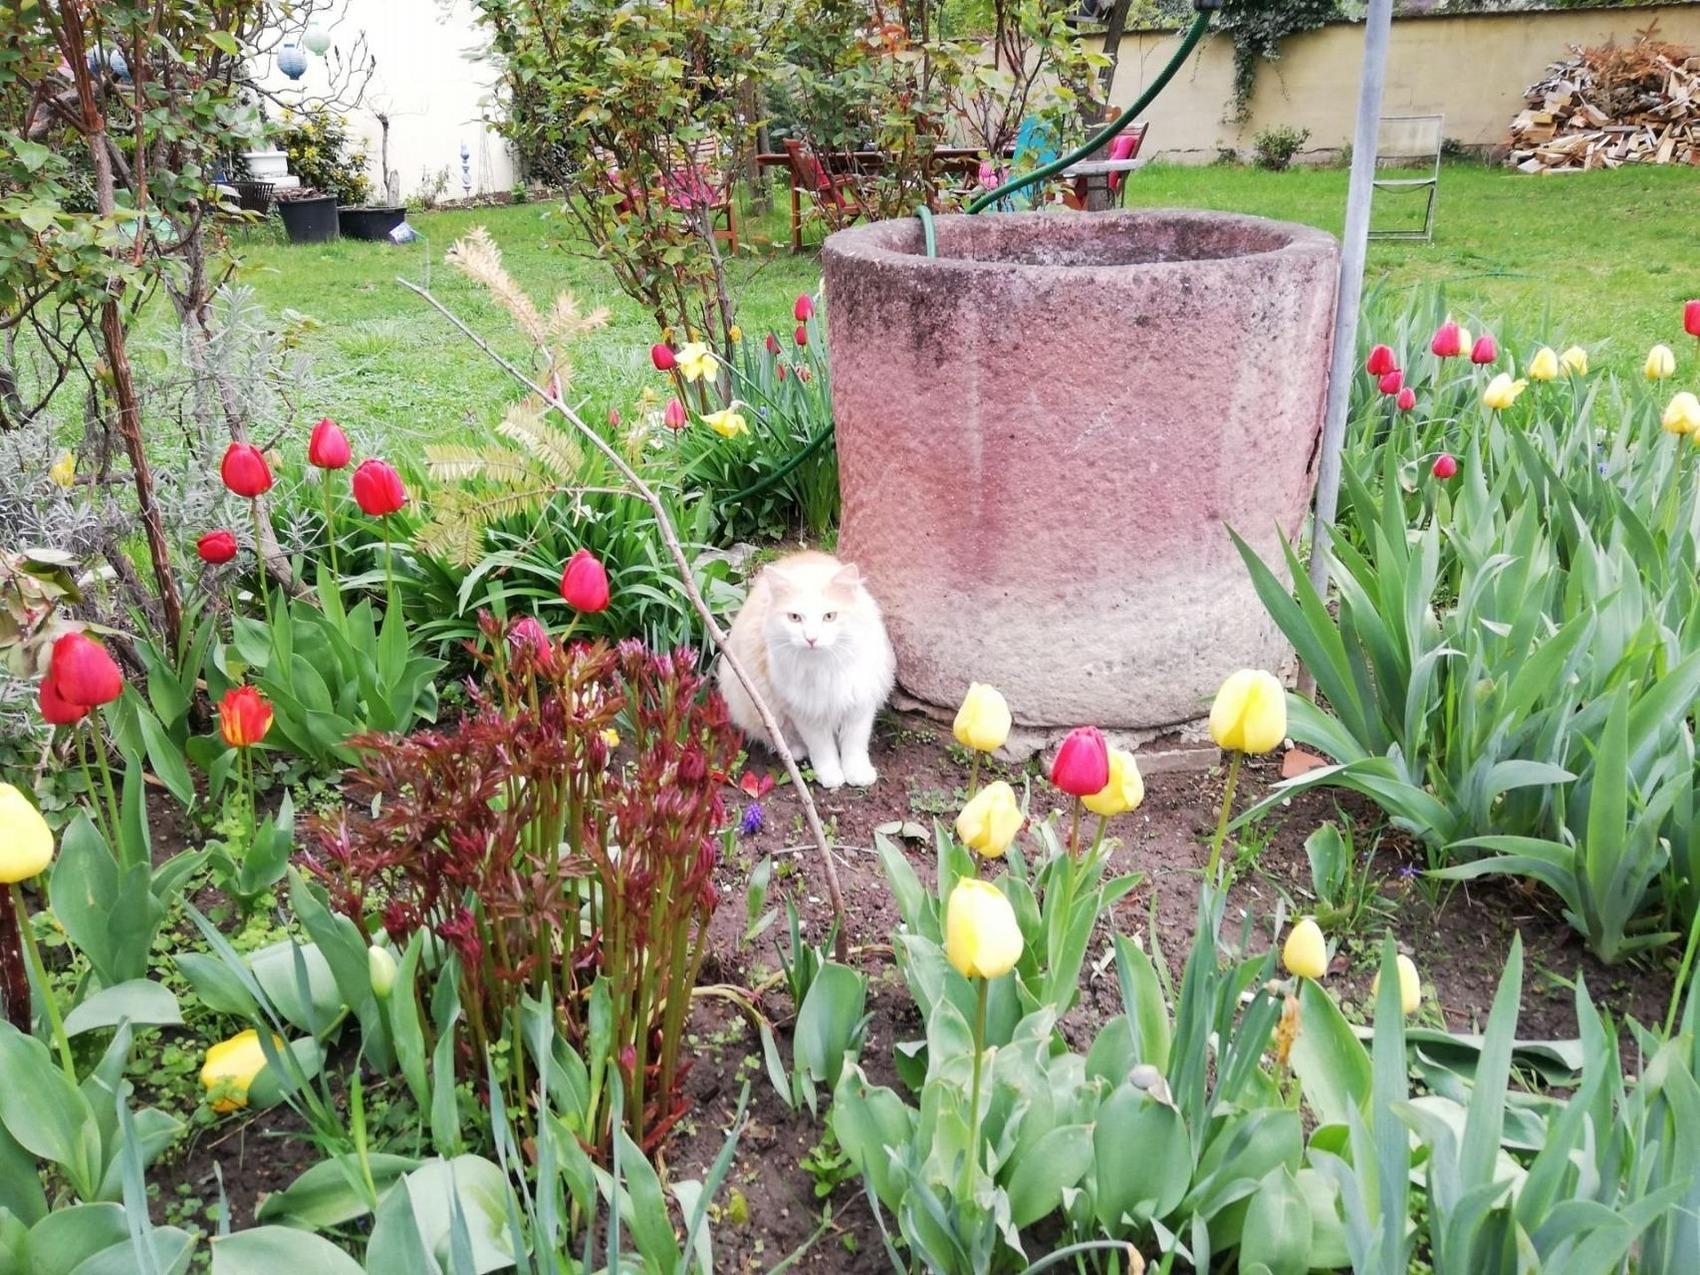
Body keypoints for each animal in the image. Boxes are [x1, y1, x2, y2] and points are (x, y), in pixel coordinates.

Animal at [718, 551, 895, 789]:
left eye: (829, 616)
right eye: (795, 618)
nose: (811, 638)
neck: (825, 666)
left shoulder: (859, 701)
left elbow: (854, 745)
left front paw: (858, 775)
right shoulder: (805, 710)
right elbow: (823, 749)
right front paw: (831, 776)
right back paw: (794, 751)